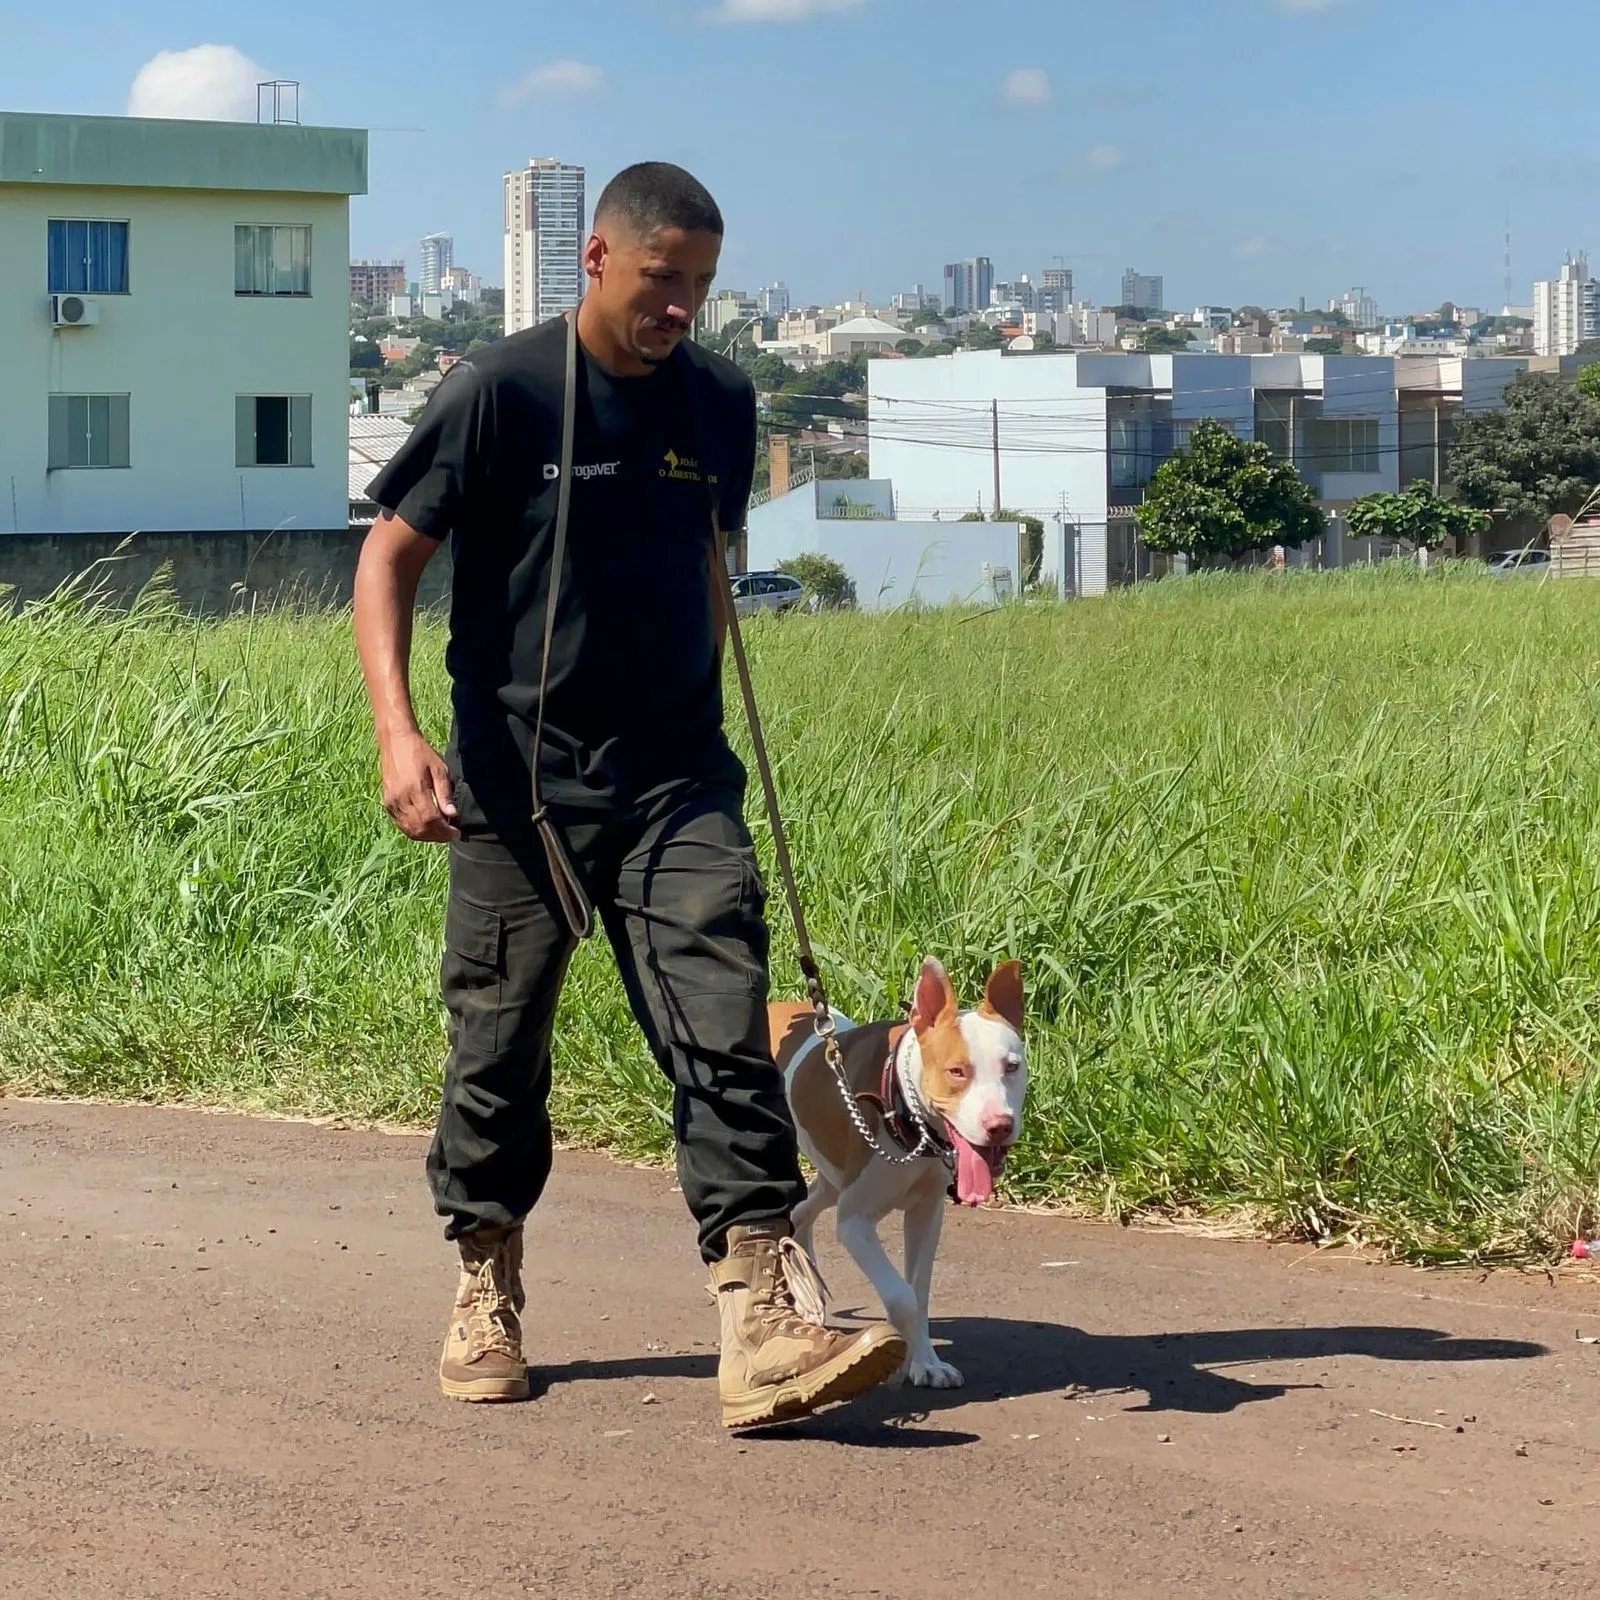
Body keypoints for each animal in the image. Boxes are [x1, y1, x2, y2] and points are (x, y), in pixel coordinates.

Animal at [771, 960, 1024, 1388]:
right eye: (957, 1071)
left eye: (1012, 1067)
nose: (999, 1125)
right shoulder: (855, 1223)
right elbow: (901, 1296)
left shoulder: (926, 1213)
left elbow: (918, 1292)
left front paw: (924, 1362)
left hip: (832, 1177)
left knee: (801, 1211)